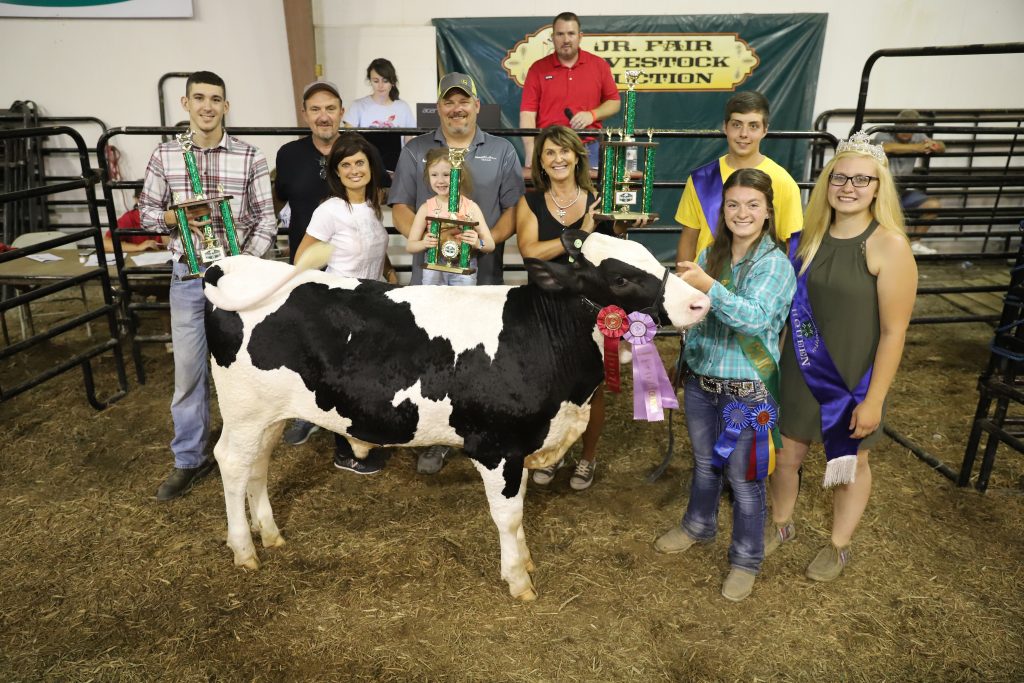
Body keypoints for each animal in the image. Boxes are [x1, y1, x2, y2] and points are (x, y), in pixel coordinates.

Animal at [202, 230, 709, 600]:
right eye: (621, 279)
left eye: (652, 257)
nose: (700, 302)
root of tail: (228, 264)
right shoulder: (497, 447)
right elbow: (509, 515)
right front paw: (519, 581)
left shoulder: (524, 445)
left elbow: (521, 509)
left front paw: (525, 561)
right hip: (243, 412)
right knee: (232, 463)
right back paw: (244, 549)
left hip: (269, 415)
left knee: (257, 466)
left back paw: (270, 534)